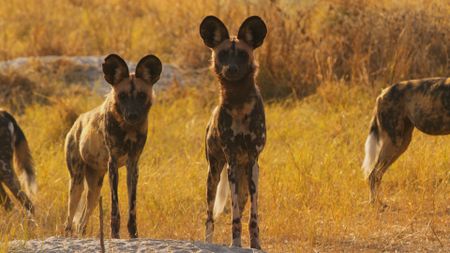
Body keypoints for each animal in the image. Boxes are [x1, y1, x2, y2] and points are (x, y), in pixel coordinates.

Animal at [63, 53, 162, 237]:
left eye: (141, 95)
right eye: (122, 95)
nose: (132, 115)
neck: (128, 128)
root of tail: (76, 122)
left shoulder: (133, 165)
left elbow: (132, 206)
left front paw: (133, 234)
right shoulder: (113, 164)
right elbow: (115, 207)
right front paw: (114, 235)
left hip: (95, 190)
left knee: (81, 223)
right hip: (76, 183)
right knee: (69, 220)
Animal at [200, 16, 268, 249]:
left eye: (242, 54)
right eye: (222, 54)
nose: (231, 69)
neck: (239, 102)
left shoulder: (253, 163)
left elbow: (253, 218)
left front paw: (255, 245)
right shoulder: (230, 161)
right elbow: (235, 216)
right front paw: (236, 243)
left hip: (245, 177)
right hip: (213, 174)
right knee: (209, 217)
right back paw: (207, 242)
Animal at [362, 77, 450, 208]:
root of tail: (383, 93)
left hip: (402, 143)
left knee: (377, 174)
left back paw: (378, 202)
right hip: (395, 143)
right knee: (374, 175)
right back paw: (375, 204)